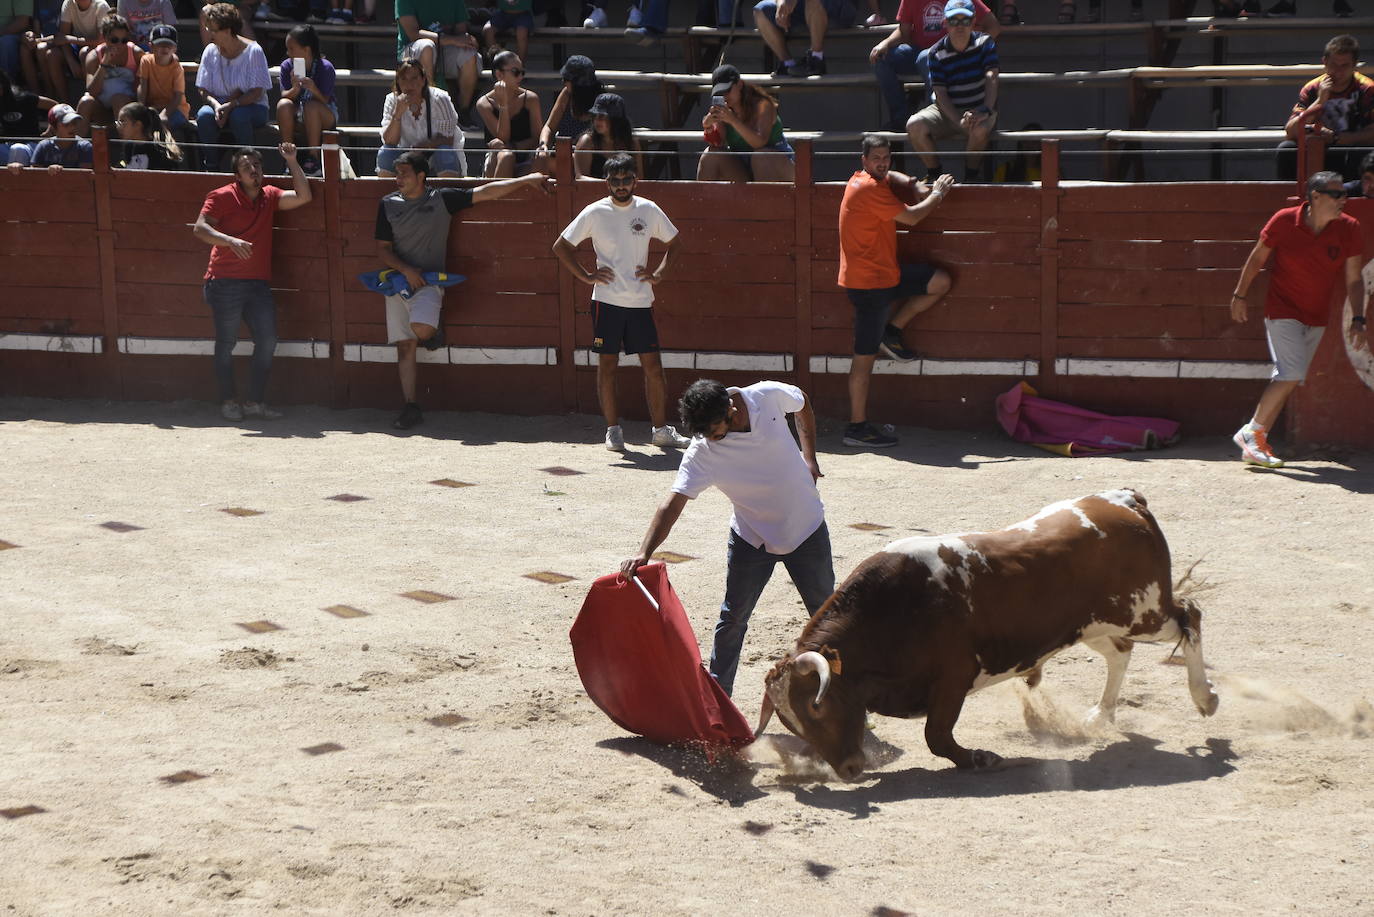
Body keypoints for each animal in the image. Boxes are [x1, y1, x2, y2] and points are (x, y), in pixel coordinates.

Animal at [758, 486, 1220, 780]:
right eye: (791, 723)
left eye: (816, 707)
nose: (849, 770)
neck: (889, 610)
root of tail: (1125, 500)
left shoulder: (953, 677)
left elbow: (937, 736)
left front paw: (980, 759)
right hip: (1095, 623)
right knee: (1120, 653)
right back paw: (1099, 716)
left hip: (1144, 610)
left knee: (1190, 616)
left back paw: (1205, 698)